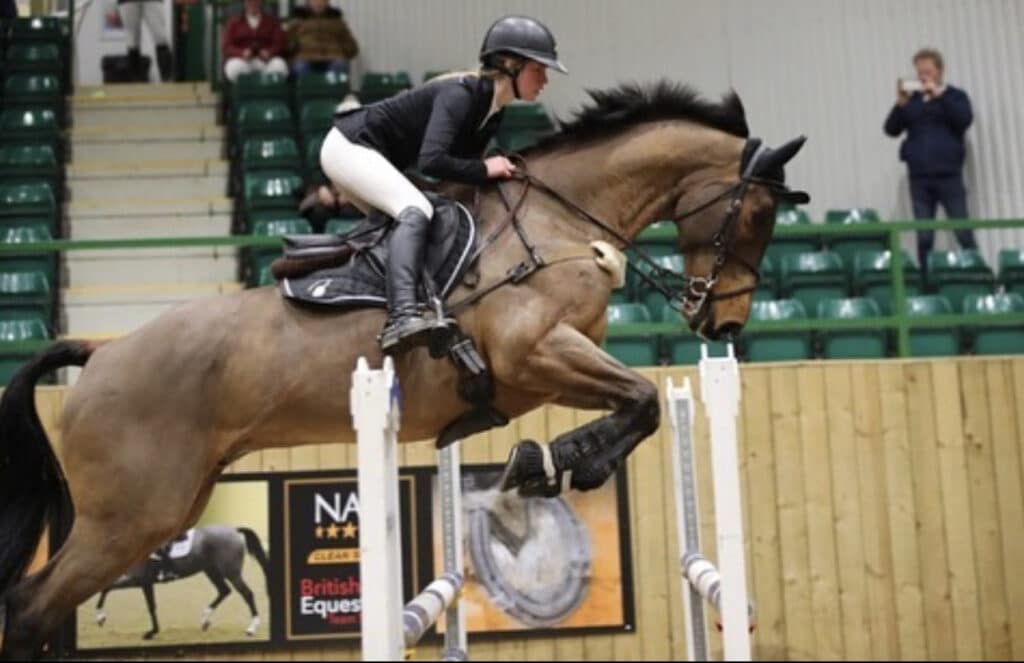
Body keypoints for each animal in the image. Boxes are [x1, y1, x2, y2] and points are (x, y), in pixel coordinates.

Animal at [91, 525, 270, 641]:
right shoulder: (144, 582)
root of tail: (234, 530)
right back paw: (205, 620)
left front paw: (100, 618)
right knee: (224, 591)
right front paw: (152, 632)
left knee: (247, 594)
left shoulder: (139, 580)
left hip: (231, 573)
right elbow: (149, 606)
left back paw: (252, 628)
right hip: (211, 570)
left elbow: (109, 588)